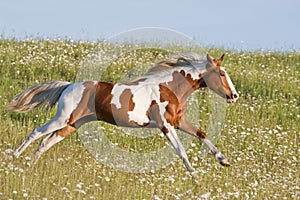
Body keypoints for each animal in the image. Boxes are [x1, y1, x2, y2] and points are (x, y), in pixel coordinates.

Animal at [7, 52, 239, 173]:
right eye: (221, 73)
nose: (234, 95)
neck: (168, 88)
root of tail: (68, 86)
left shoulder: (178, 121)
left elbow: (201, 134)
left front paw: (223, 160)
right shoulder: (165, 125)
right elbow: (181, 149)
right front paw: (194, 175)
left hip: (72, 125)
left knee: (45, 143)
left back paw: (30, 166)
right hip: (62, 119)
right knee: (37, 132)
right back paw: (14, 157)